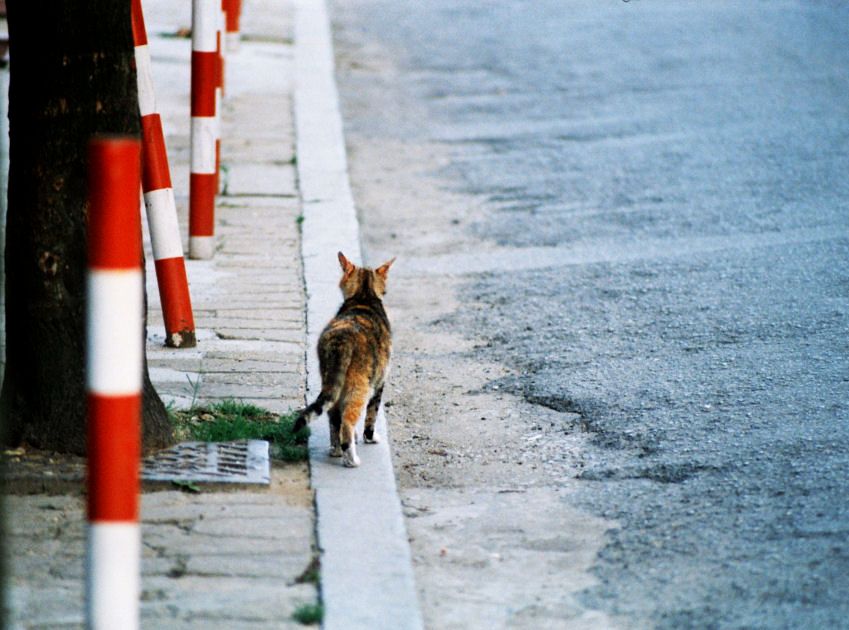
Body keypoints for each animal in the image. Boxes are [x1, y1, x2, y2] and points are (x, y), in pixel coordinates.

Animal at [293, 251, 395, 467]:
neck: (363, 297)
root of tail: (342, 339)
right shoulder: (380, 381)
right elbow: (372, 414)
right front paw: (370, 438)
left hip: (332, 382)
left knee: (334, 417)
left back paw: (336, 450)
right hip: (360, 387)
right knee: (348, 421)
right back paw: (351, 459)